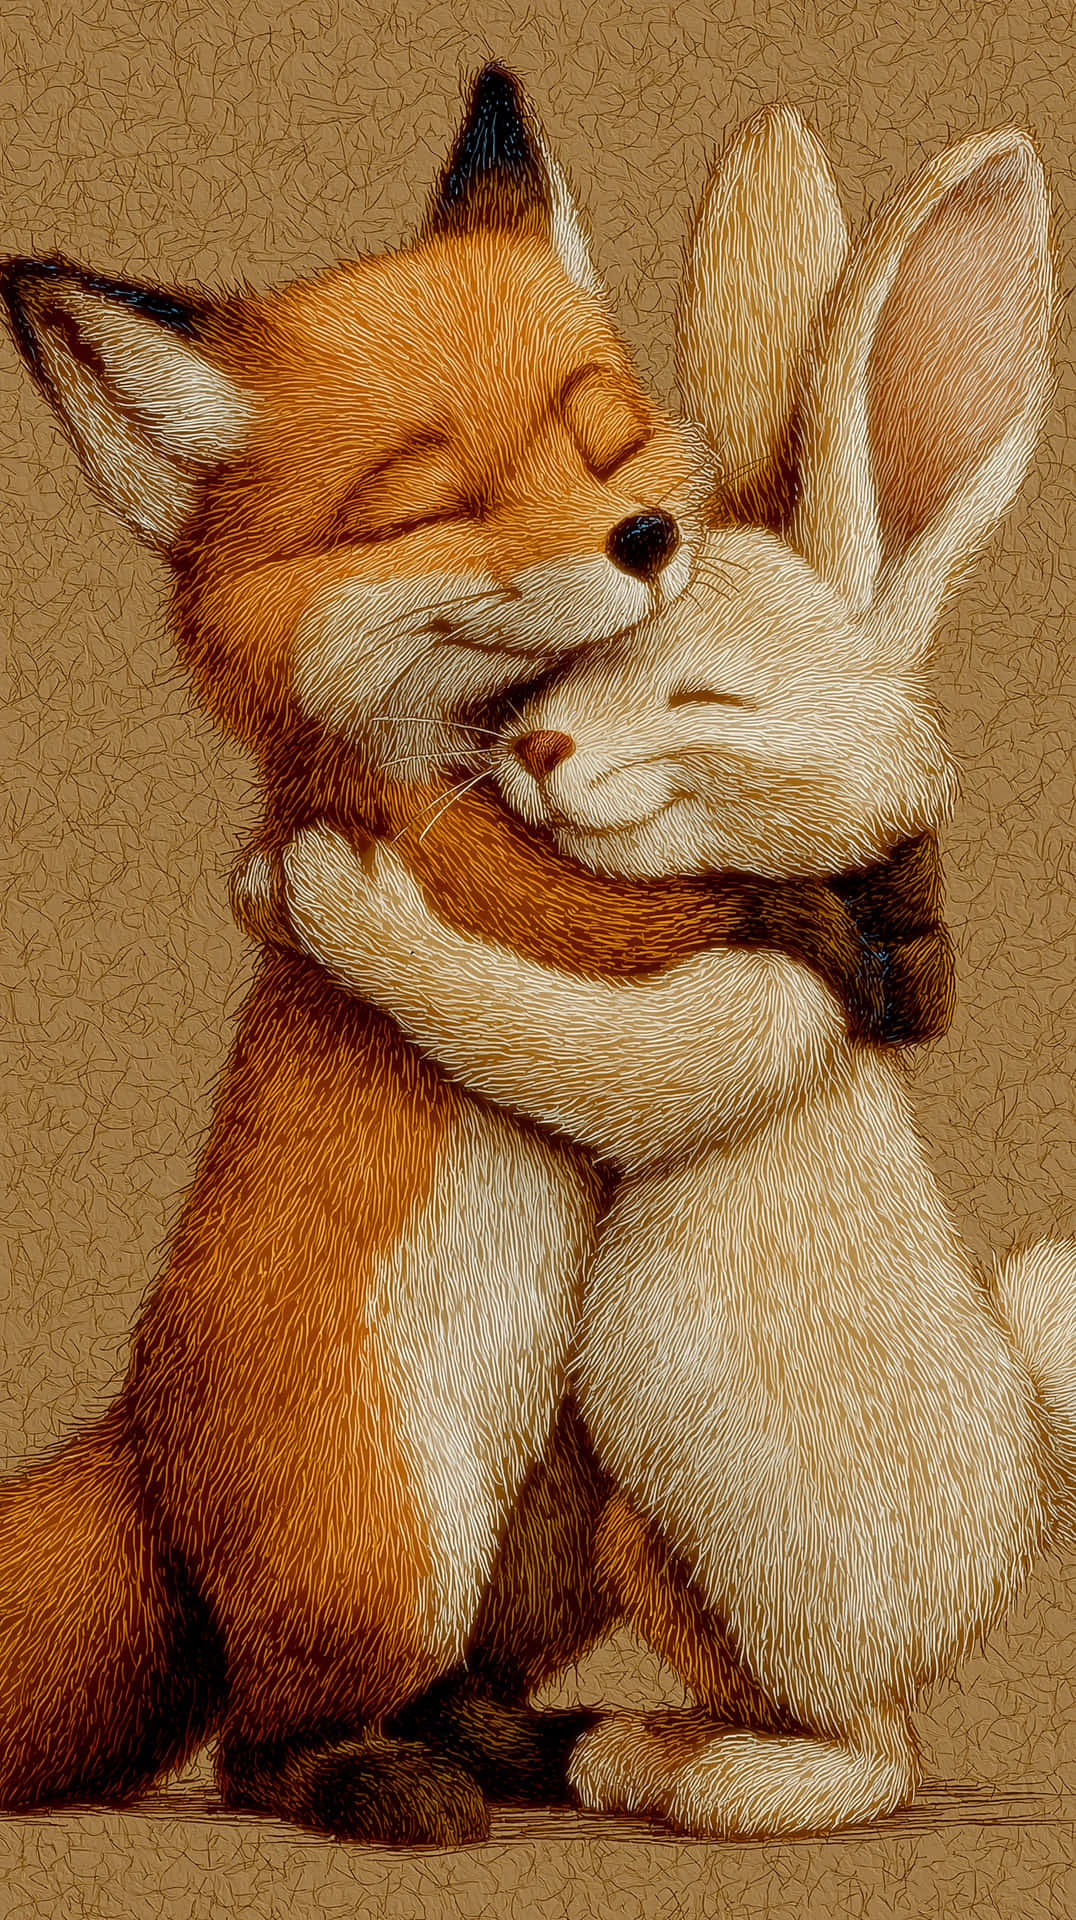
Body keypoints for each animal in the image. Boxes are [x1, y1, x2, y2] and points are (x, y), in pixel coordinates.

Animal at [1, 68, 951, 1846]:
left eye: (606, 436)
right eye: (434, 504)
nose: (646, 535)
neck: (476, 748)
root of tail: (144, 1434)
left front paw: (904, 920)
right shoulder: (454, 854)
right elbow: (644, 911)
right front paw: (827, 922)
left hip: (563, 1513)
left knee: (451, 1684)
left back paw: (540, 1747)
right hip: (384, 1546)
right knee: (261, 1740)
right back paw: (386, 1788)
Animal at [240, 109, 1076, 1839]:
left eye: (709, 697)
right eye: (571, 665)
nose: (545, 750)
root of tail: (1019, 1510)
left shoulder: (765, 1017)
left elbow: (567, 1046)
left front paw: (328, 893)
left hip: (756, 1555)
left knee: (874, 1749)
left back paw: (705, 1775)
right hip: (646, 1529)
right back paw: (622, 1747)